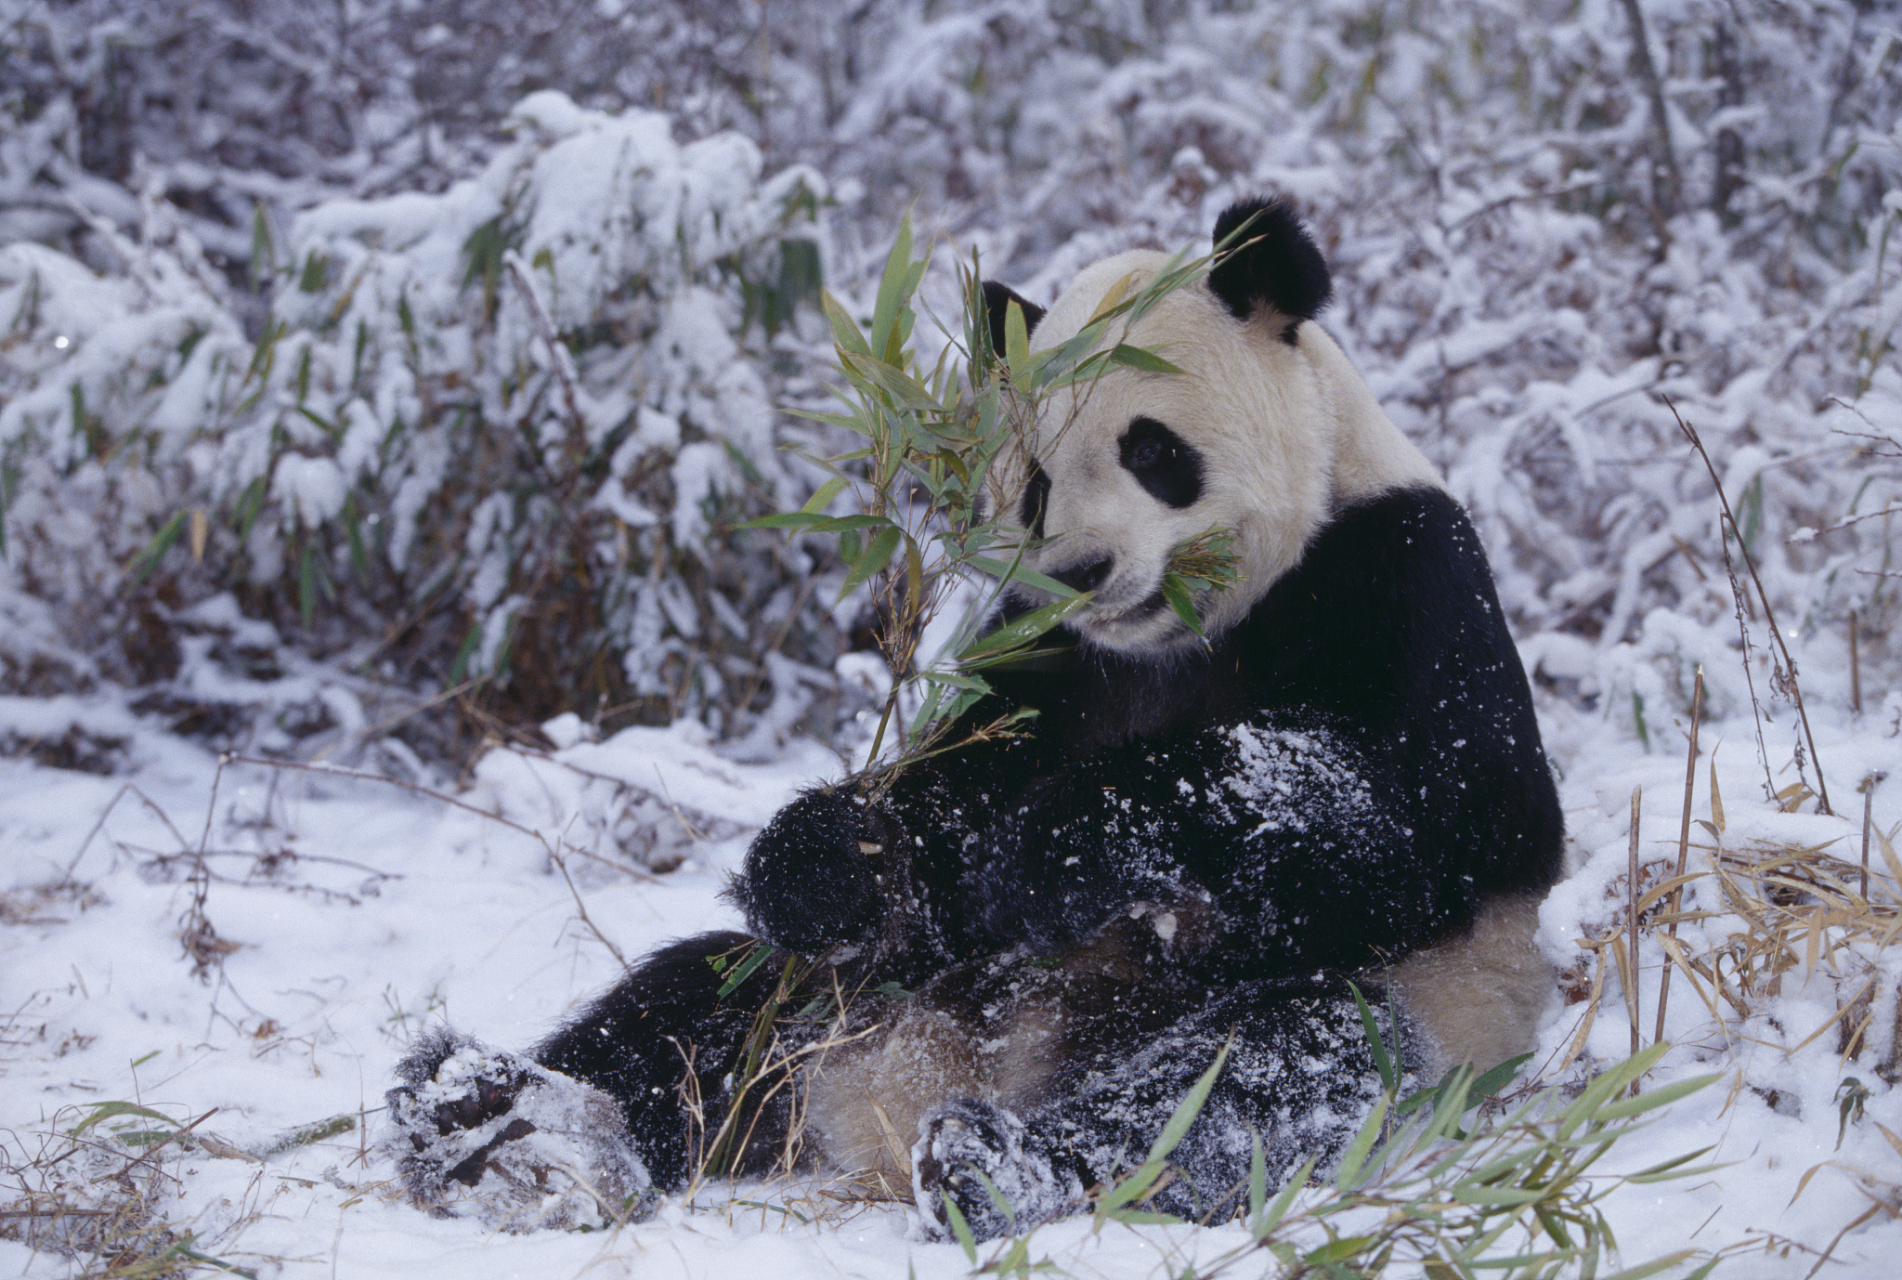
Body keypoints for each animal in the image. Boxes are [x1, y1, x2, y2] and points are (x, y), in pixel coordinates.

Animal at [382, 196, 1559, 1240]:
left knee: (1268, 1072)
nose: (1083, 570)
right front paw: (830, 857)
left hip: (1413, 1011)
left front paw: (1073, 841)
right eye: (1034, 483)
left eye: (1152, 450)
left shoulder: (1401, 574)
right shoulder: (1037, 652)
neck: (1176, 635)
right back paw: (491, 1118)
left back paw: (1000, 1169)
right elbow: (939, 815)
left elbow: (1423, 820)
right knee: (701, 1009)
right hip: (859, 998)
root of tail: (887, 1104)